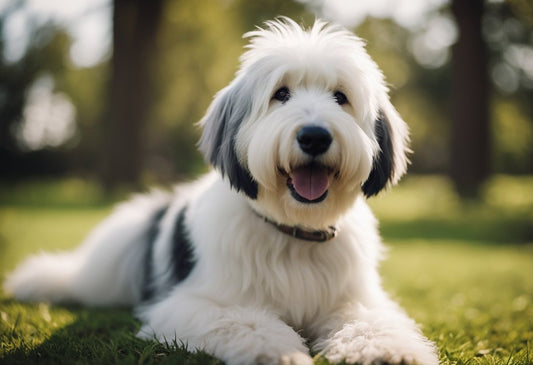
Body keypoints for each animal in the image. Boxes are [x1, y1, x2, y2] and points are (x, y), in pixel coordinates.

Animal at [3, 17, 436, 364]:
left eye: (340, 97)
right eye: (281, 94)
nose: (314, 136)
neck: (294, 232)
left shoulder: (356, 299)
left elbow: (369, 321)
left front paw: (388, 350)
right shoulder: (190, 303)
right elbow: (244, 320)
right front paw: (279, 350)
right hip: (110, 264)